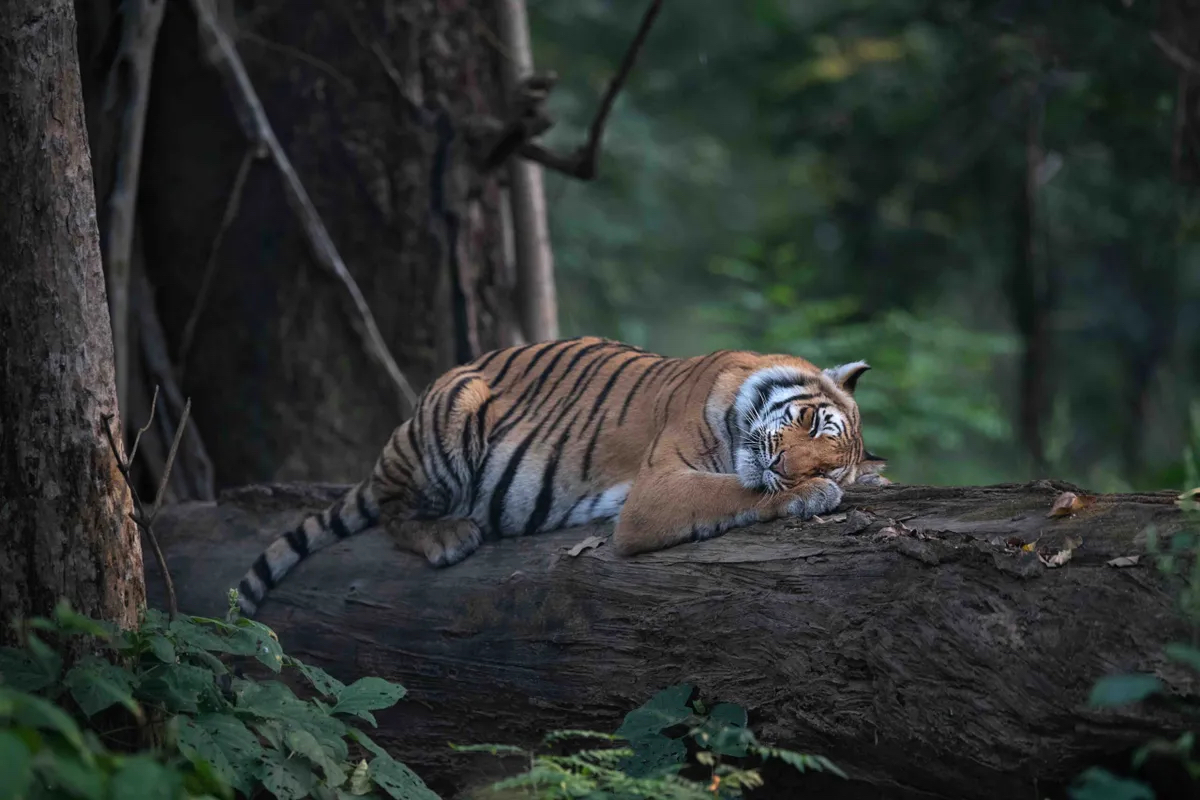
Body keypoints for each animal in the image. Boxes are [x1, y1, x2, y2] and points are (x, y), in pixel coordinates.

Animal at [234, 336, 887, 616]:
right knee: (394, 510)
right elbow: (733, 489)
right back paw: (449, 536)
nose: (785, 465)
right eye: (809, 420)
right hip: (453, 409)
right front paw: (810, 495)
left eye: (826, 455)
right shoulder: (657, 489)